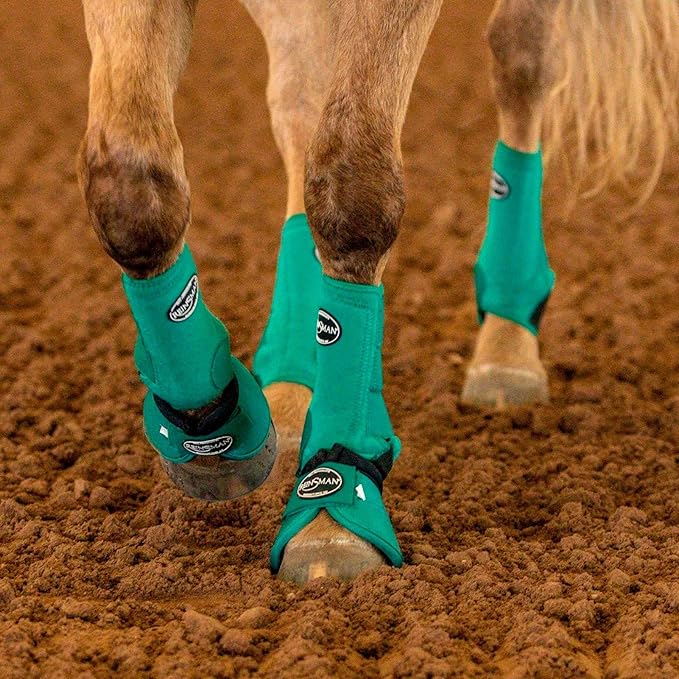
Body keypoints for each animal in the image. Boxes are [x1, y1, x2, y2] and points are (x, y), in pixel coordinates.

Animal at [76, 0, 679, 585]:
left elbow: (352, 189)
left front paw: (331, 507)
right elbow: (129, 188)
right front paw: (210, 427)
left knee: (522, 59)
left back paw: (508, 340)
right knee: (300, 101)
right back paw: (291, 385)